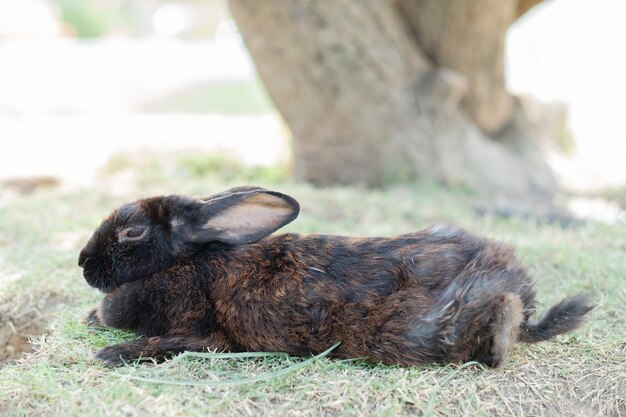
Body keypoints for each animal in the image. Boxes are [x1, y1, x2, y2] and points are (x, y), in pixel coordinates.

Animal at [78, 187, 588, 366]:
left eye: (131, 231)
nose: (83, 263)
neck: (189, 262)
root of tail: (514, 283)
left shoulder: (207, 332)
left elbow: (174, 342)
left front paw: (114, 352)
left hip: (424, 328)